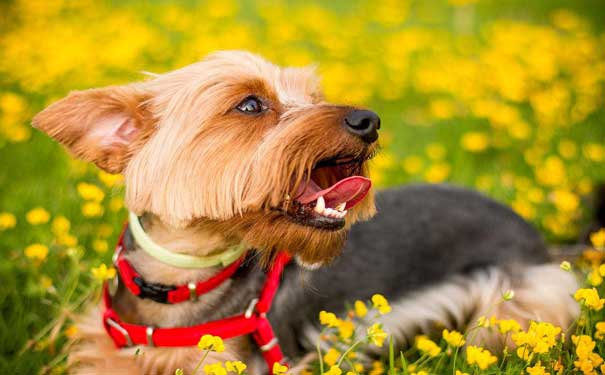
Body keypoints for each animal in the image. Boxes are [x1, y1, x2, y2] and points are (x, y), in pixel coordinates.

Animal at [31, 50, 576, 375]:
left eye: (314, 98)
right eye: (250, 105)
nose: (368, 120)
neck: (183, 281)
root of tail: (537, 235)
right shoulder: (108, 352)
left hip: (509, 309)